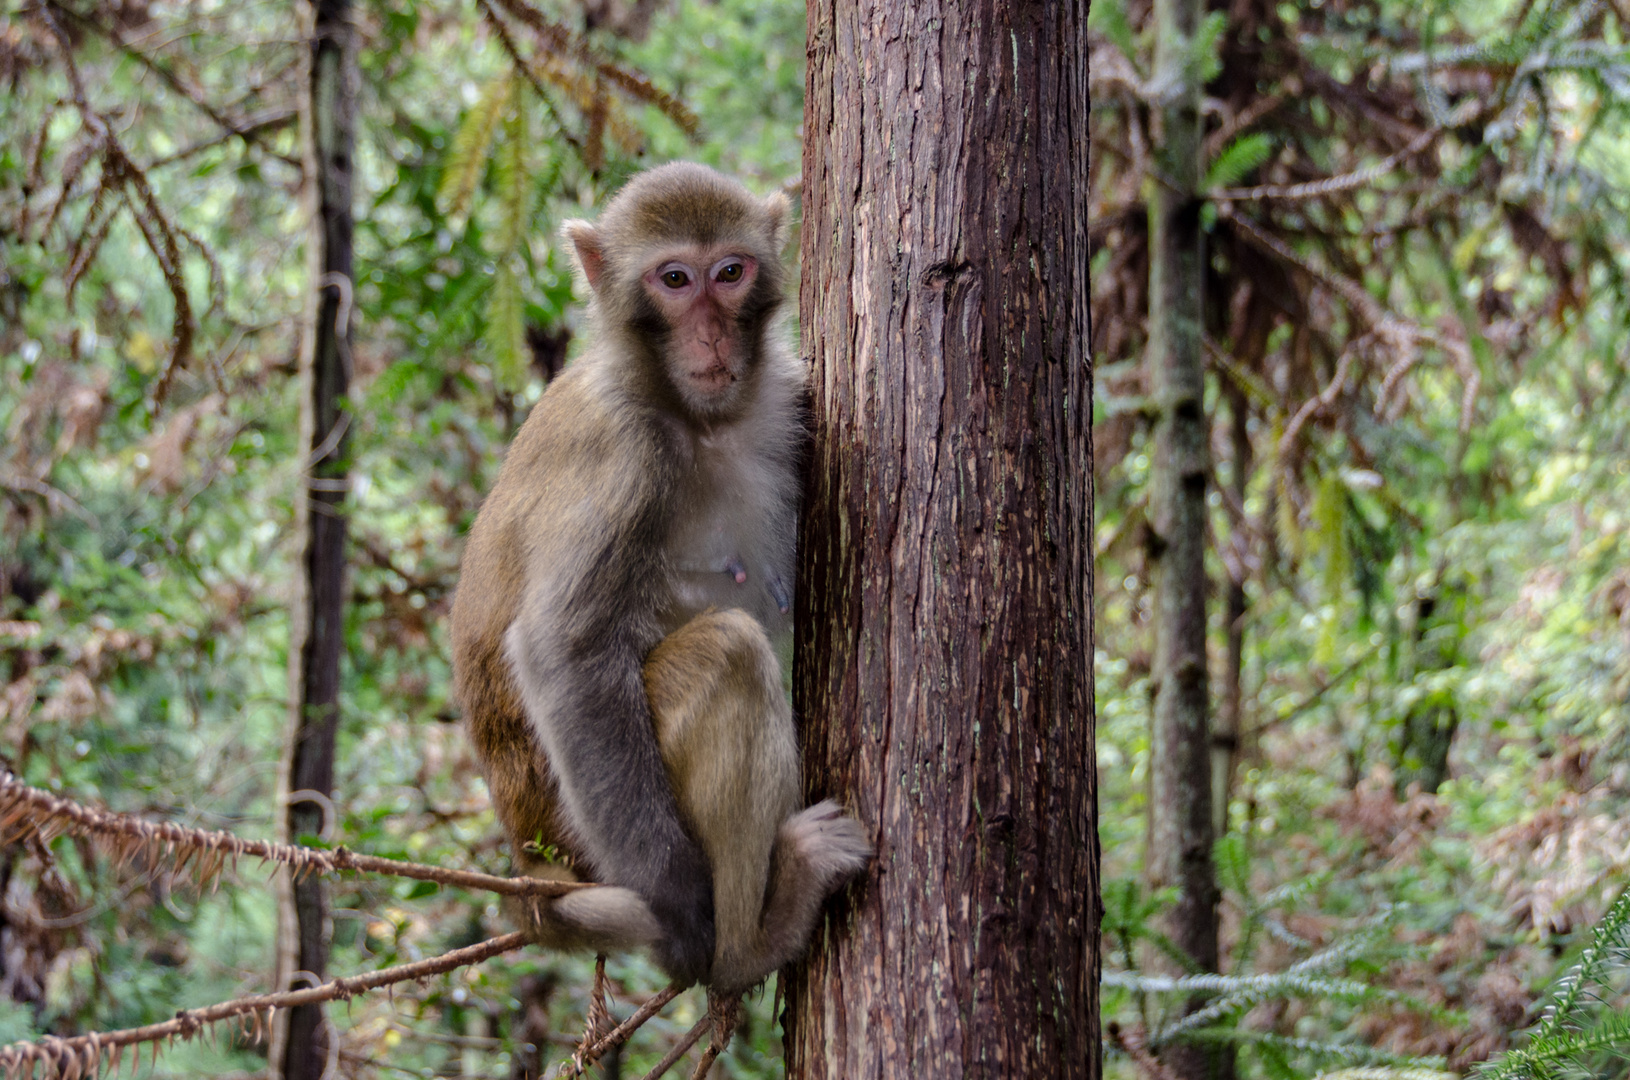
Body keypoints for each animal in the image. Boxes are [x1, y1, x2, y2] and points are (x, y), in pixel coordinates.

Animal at [449, 162, 867, 996]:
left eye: (729, 273)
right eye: (674, 279)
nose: (709, 333)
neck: (702, 416)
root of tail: (532, 861)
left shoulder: (788, 397)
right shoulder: (623, 452)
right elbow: (564, 651)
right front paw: (686, 912)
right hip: (592, 832)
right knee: (729, 654)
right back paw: (753, 939)